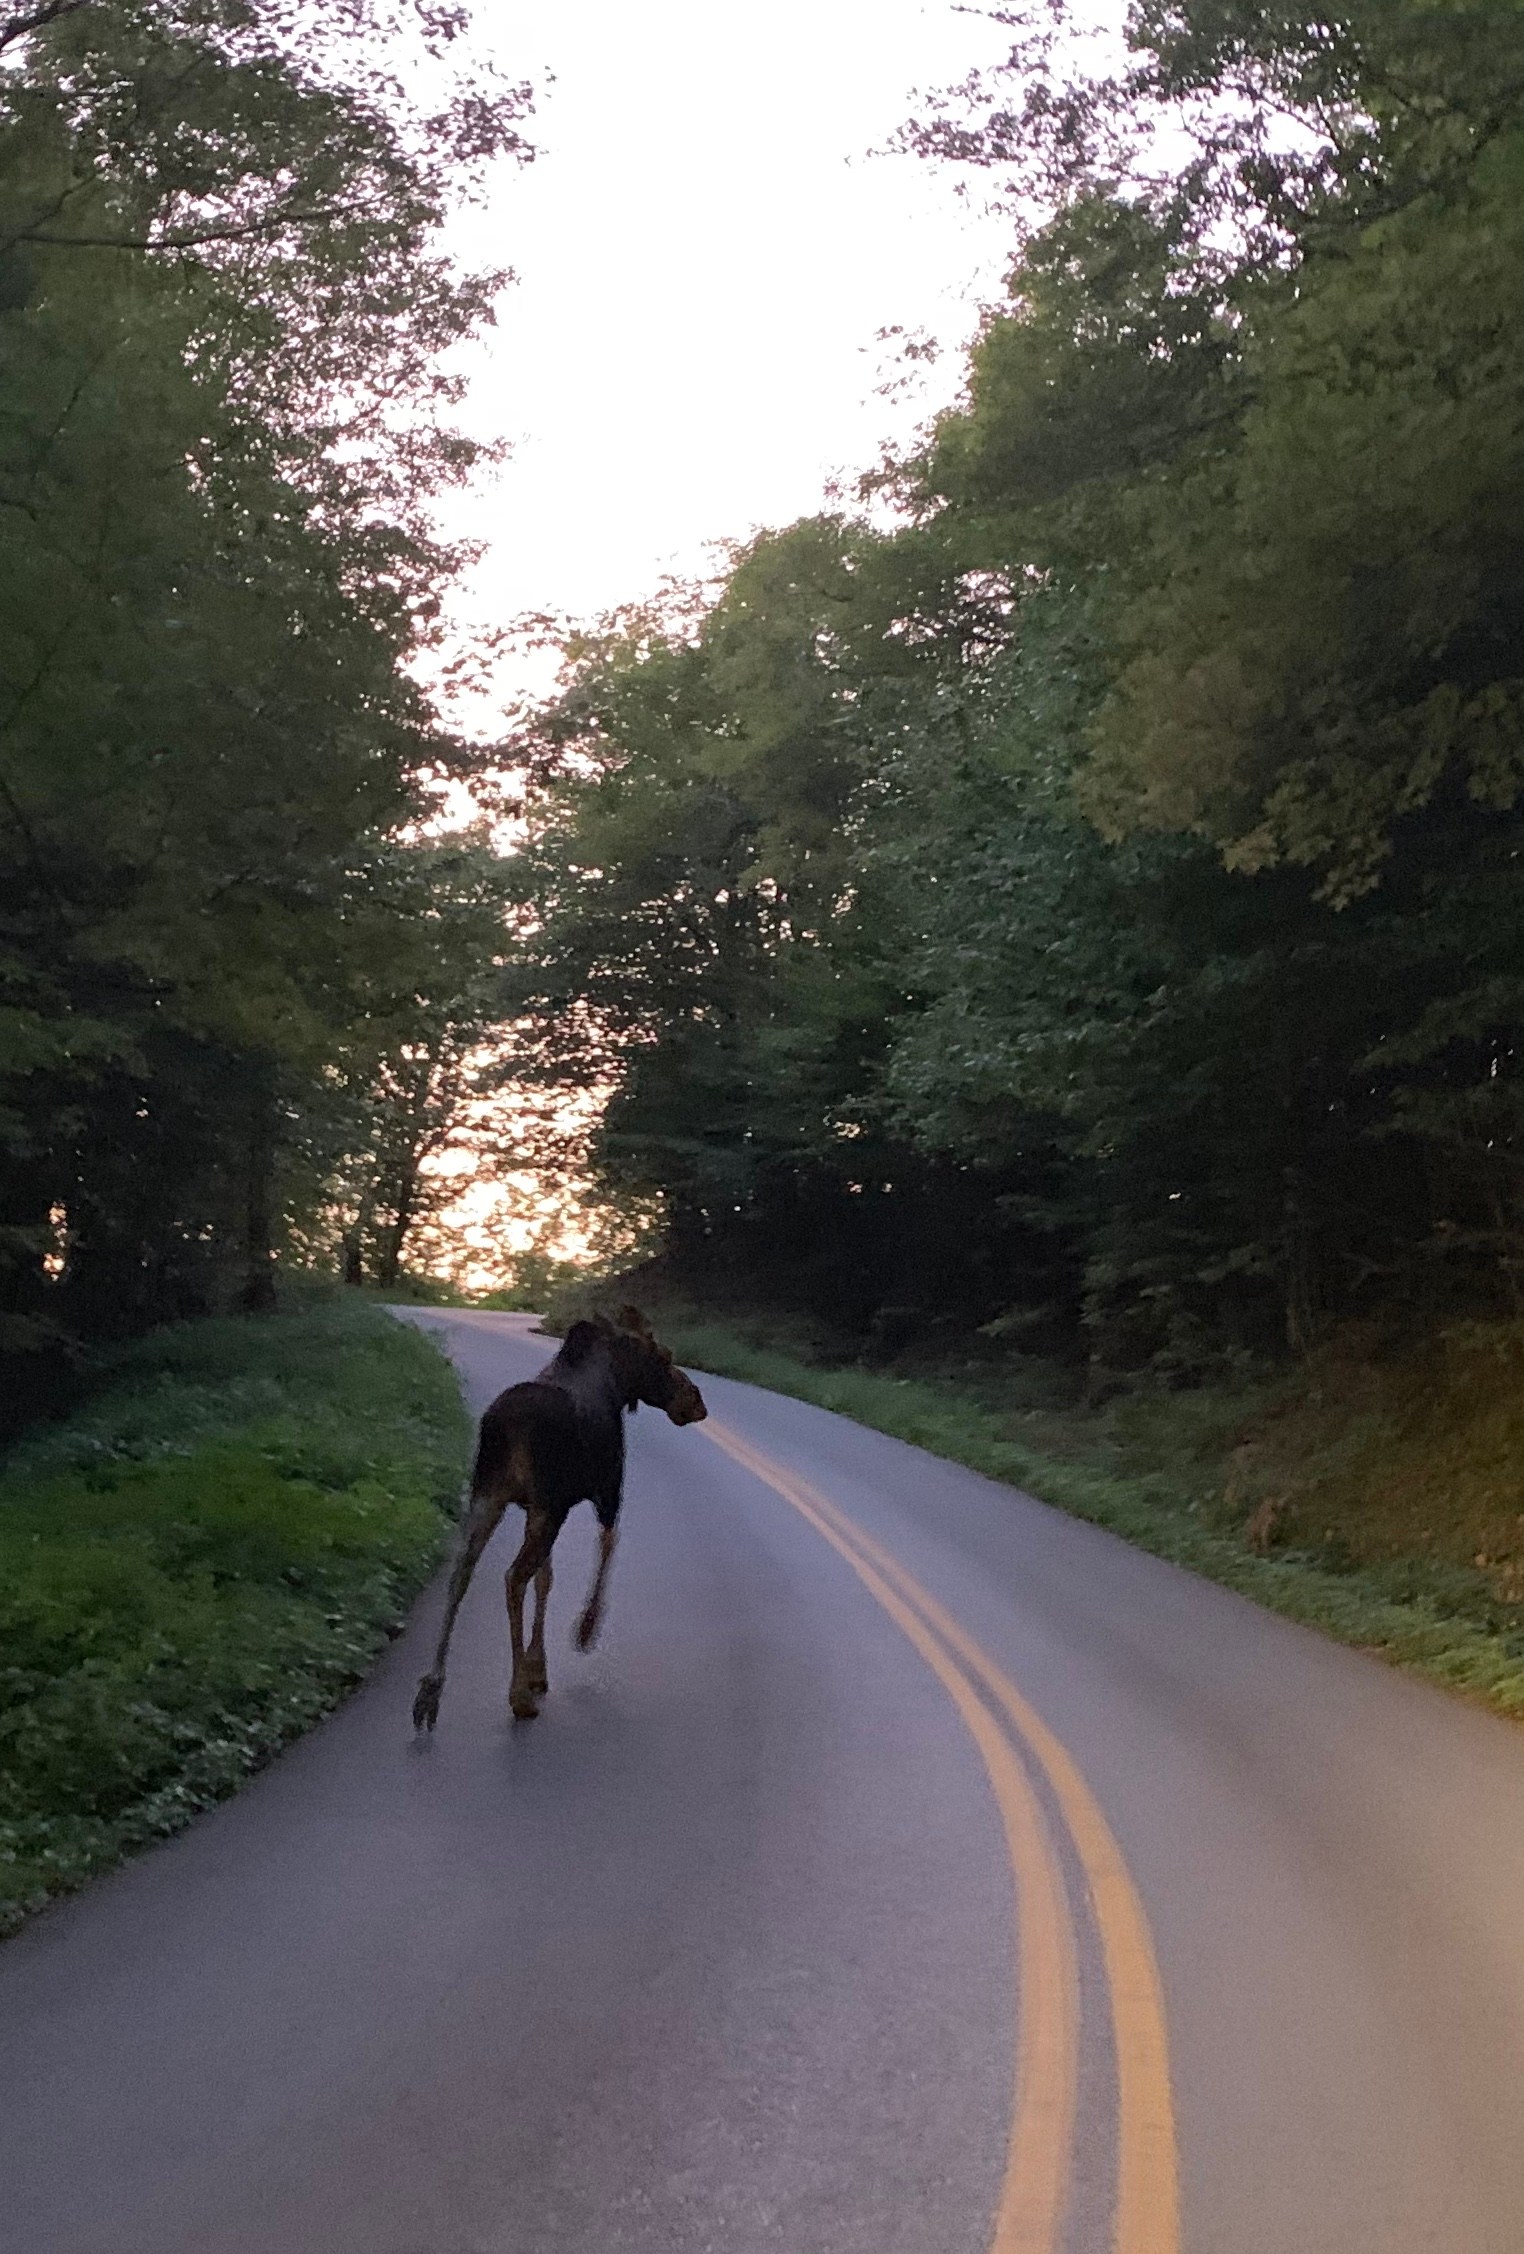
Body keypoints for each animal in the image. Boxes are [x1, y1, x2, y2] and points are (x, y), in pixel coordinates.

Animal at [411, 1307, 707, 1729]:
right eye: (664, 1357)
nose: (697, 1401)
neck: (617, 1386)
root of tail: (505, 1427)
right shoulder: (604, 1493)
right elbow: (605, 1549)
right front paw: (584, 1630)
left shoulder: (535, 1507)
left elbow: (546, 1579)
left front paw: (537, 1665)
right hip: (543, 1506)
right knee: (513, 1577)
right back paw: (517, 1695)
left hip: (487, 1497)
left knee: (461, 1575)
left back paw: (432, 1689)